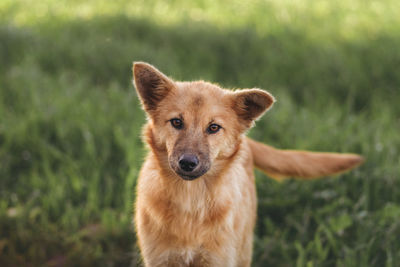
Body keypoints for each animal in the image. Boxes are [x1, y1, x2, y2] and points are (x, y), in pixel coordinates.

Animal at [131, 61, 362, 266]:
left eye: (214, 127)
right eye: (177, 122)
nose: (188, 163)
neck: (191, 199)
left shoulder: (219, 259)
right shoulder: (161, 259)